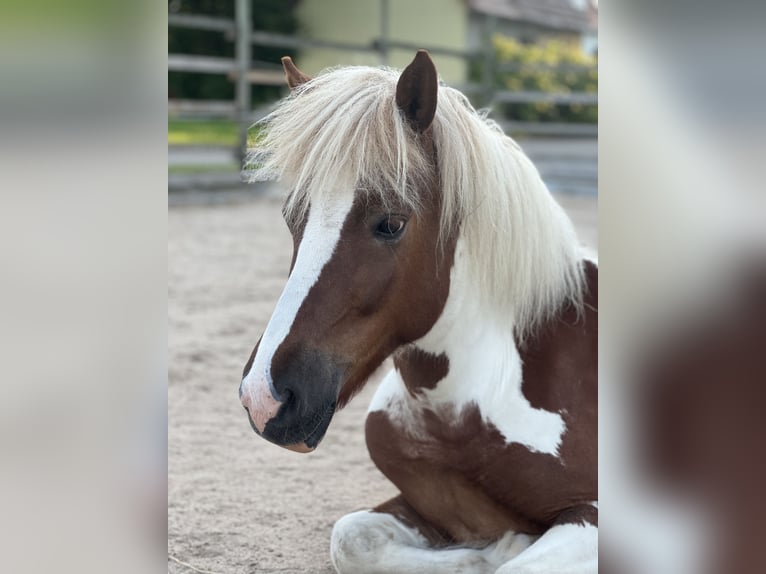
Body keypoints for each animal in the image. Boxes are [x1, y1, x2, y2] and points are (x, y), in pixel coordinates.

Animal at [239, 50, 597, 574]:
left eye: (391, 223)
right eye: (292, 217)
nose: (265, 398)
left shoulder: (595, 514)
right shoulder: (419, 503)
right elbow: (352, 538)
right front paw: (496, 547)